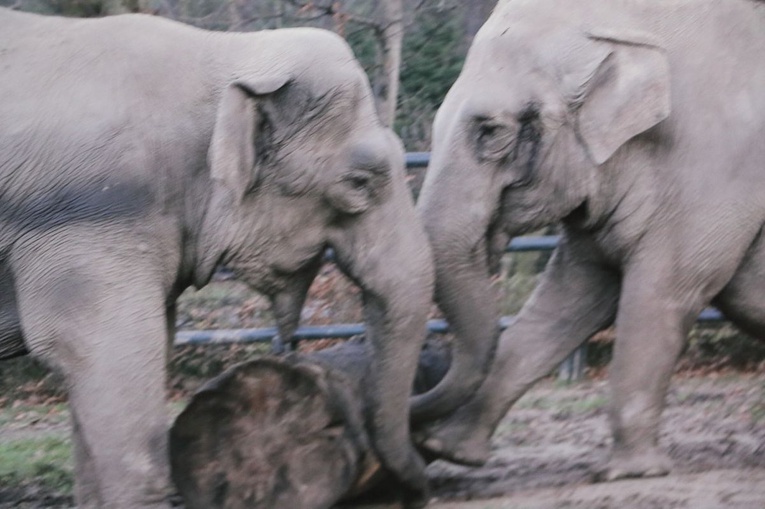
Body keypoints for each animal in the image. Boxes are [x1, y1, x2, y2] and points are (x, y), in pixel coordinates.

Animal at [414, 0, 764, 480]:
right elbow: (572, 299)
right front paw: (449, 449)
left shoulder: (718, 168)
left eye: (491, 132)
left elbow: (664, 291)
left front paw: (630, 473)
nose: (426, 363)